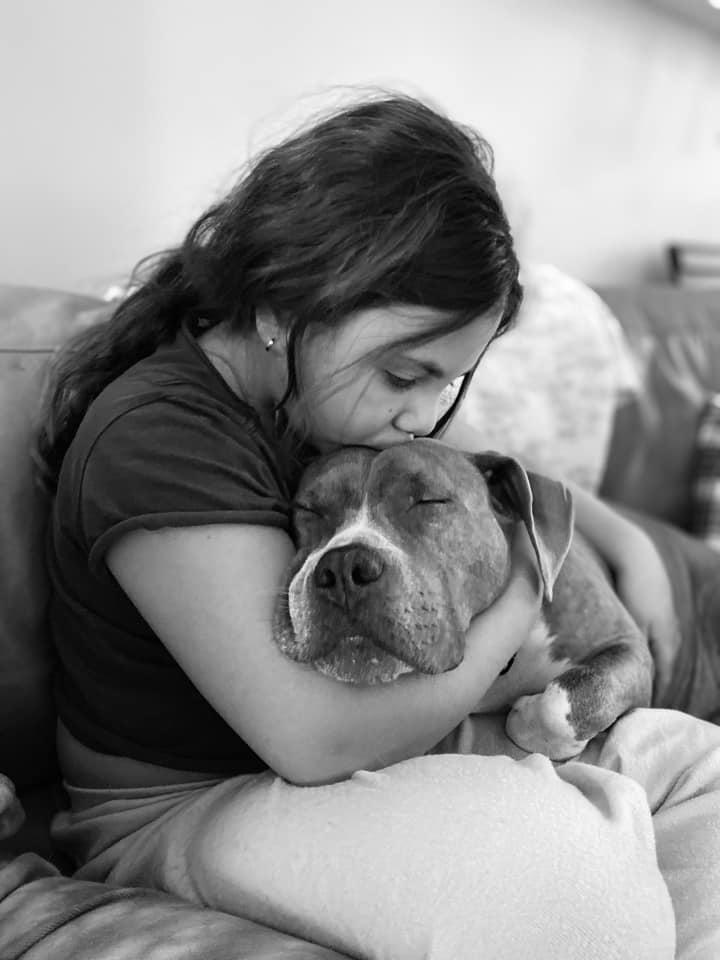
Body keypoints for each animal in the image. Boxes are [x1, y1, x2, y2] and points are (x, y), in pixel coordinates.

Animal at [272, 438, 720, 760]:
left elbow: (570, 696)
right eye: (307, 510)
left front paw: (525, 718)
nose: (343, 567)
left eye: (430, 500)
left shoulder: (628, 646)